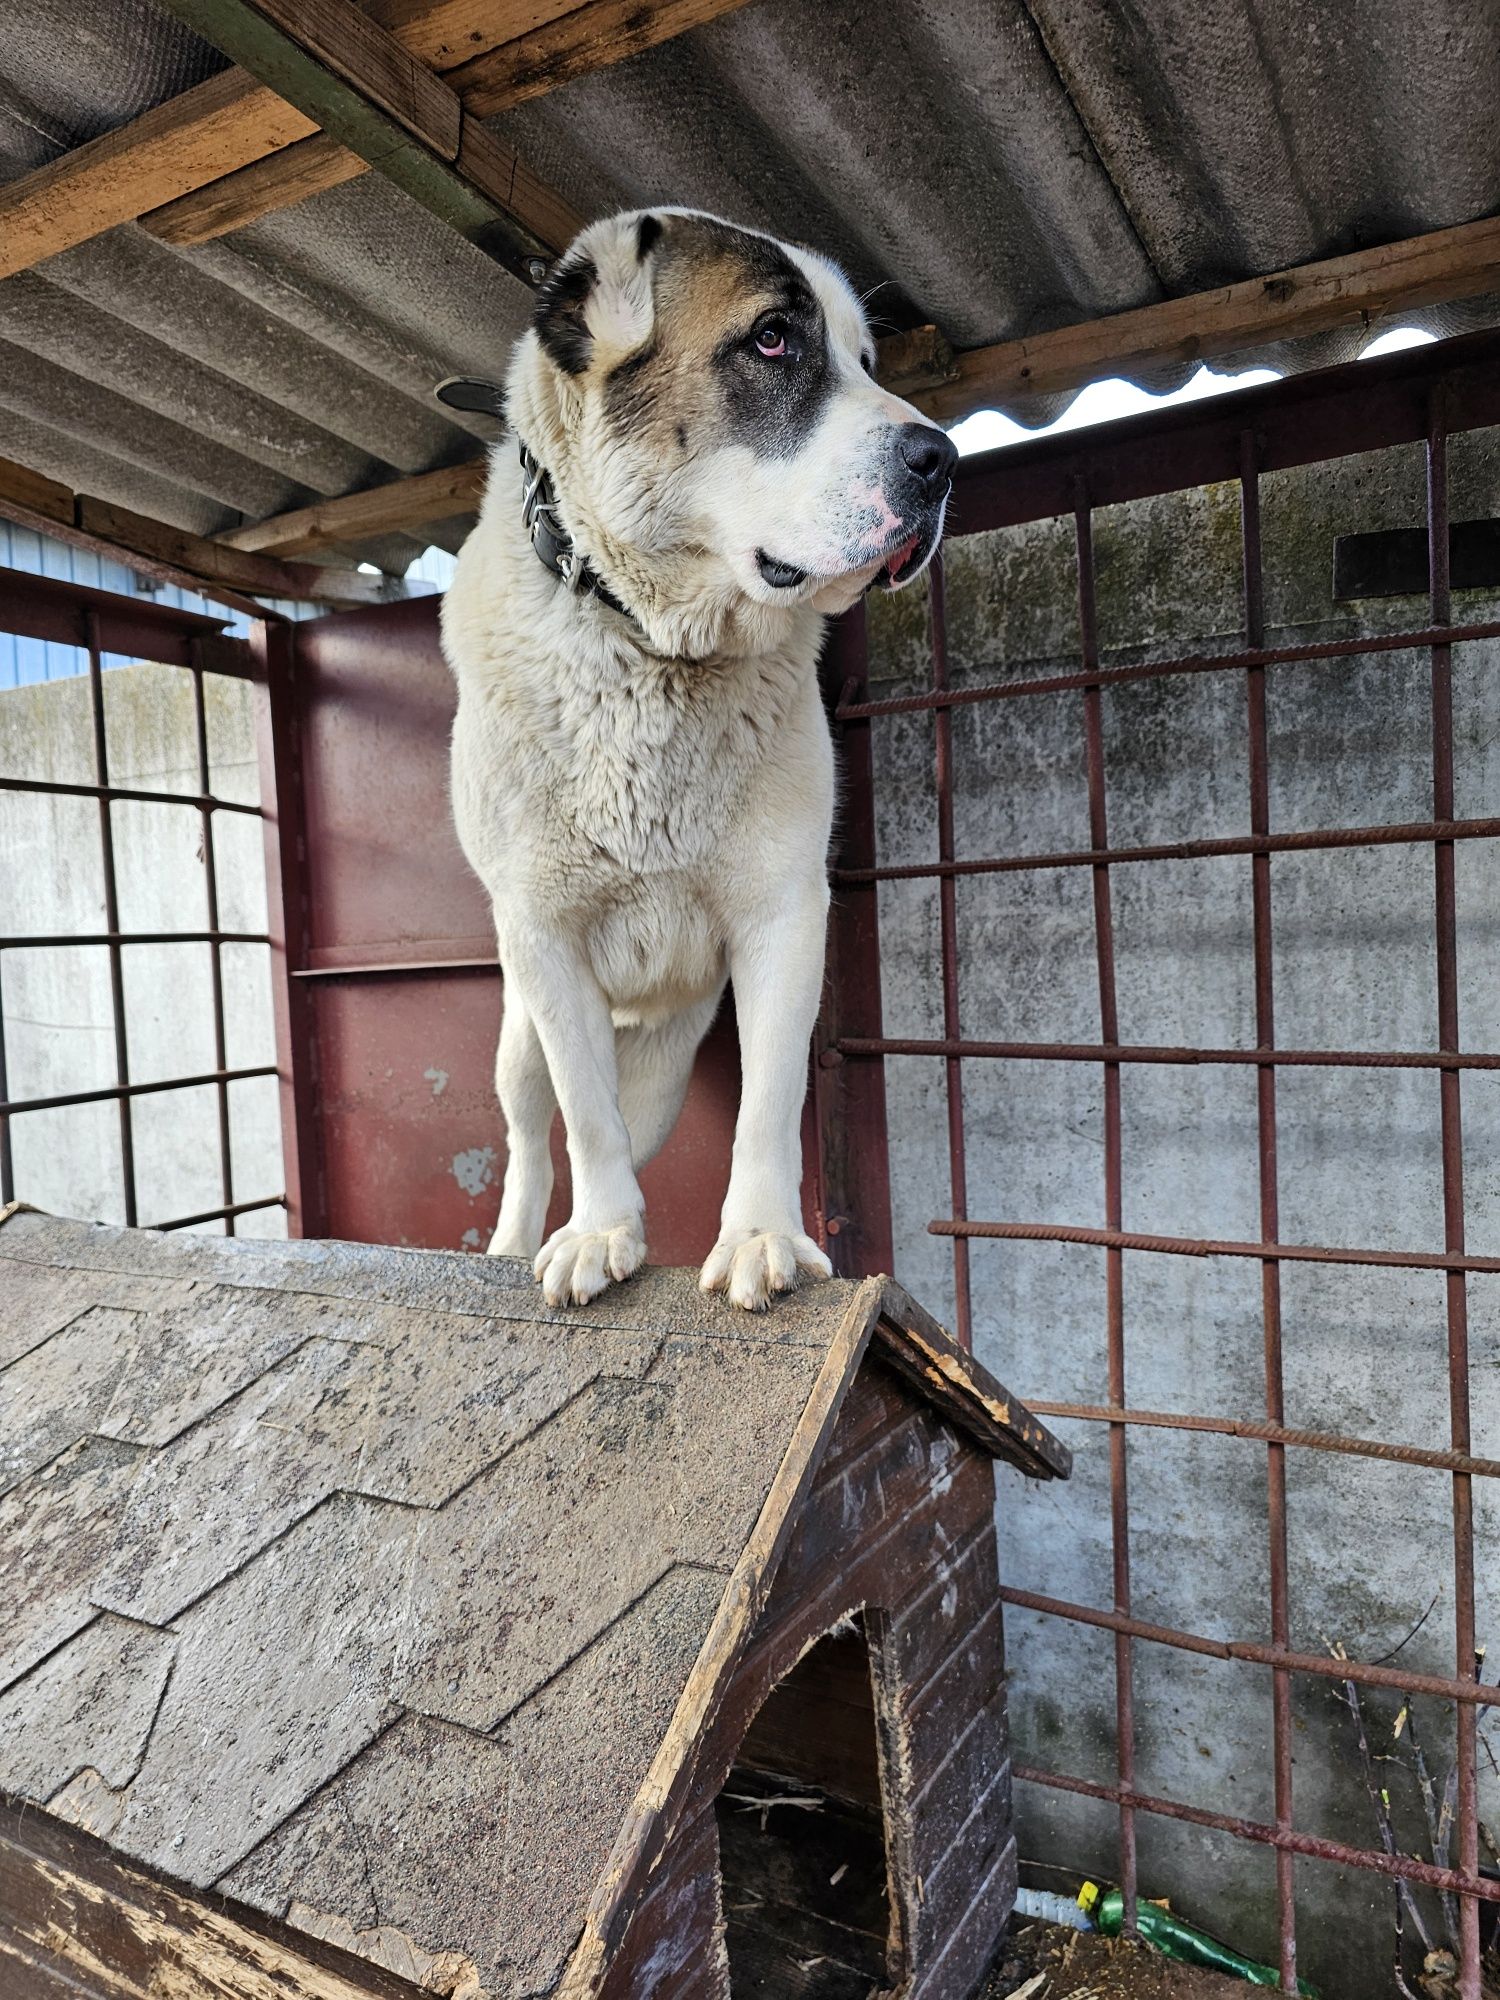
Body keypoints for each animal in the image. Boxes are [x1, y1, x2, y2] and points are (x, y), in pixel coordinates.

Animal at [444, 207, 964, 1312]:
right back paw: (518, 1240)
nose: (943, 459)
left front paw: (762, 1237)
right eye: (771, 339)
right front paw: (597, 1234)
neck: (657, 646)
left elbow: (767, 1101)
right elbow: (582, 1120)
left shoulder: (785, 915)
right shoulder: (544, 936)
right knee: (535, 1136)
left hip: (668, 1064)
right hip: (520, 1037)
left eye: (864, 359)